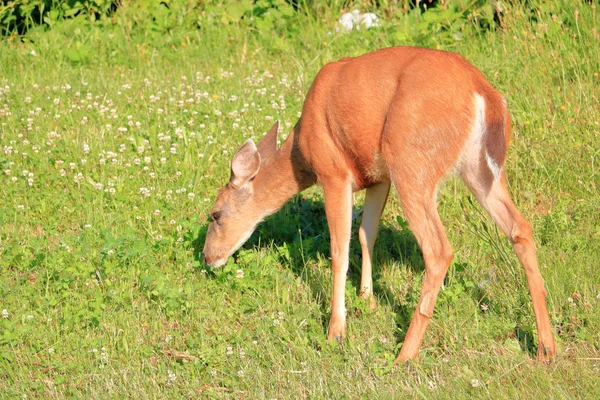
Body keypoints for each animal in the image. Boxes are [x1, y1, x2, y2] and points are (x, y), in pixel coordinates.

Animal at [203, 47, 556, 362]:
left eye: (215, 214)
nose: (208, 257)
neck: (300, 152)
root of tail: (482, 91)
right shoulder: (378, 178)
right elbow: (365, 235)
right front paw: (367, 300)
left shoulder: (334, 172)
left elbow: (339, 250)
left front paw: (336, 331)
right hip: (480, 170)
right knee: (520, 228)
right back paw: (546, 347)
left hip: (412, 160)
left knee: (439, 250)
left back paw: (404, 355)